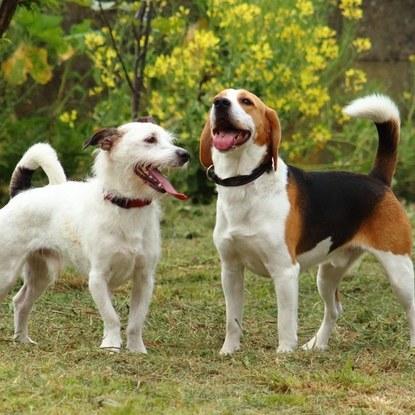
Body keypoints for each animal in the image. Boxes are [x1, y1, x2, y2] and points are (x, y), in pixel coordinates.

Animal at [0, 122, 189, 352]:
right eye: (150, 139)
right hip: (6, 273)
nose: (185, 155)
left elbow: (136, 321)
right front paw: (111, 346)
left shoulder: (144, 278)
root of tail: (20, 193)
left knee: (20, 302)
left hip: (42, 275)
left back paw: (22, 339)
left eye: (170, 140)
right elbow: (112, 317)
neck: (127, 205)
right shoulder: (98, 278)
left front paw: (136, 349)